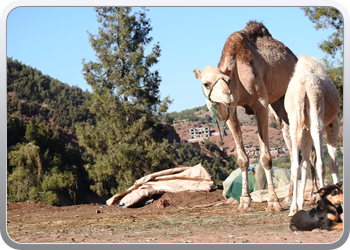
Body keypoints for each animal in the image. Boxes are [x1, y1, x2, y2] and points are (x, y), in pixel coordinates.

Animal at [194, 21, 298, 212]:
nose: (227, 96)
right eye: (206, 83)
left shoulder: (261, 104)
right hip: (278, 103)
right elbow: (242, 159)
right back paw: (289, 199)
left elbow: (265, 157)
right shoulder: (232, 112)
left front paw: (273, 202)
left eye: (227, 80)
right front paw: (244, 202)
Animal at [286, 55, 340, 216]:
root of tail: (302, 86)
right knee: (321, 163)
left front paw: (299, 204)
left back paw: (293, 208)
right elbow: (333, 163)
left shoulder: (305, 129)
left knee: (296, 164)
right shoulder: (333, 123)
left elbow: (304, 164)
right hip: (317, 111)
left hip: (294, 119)